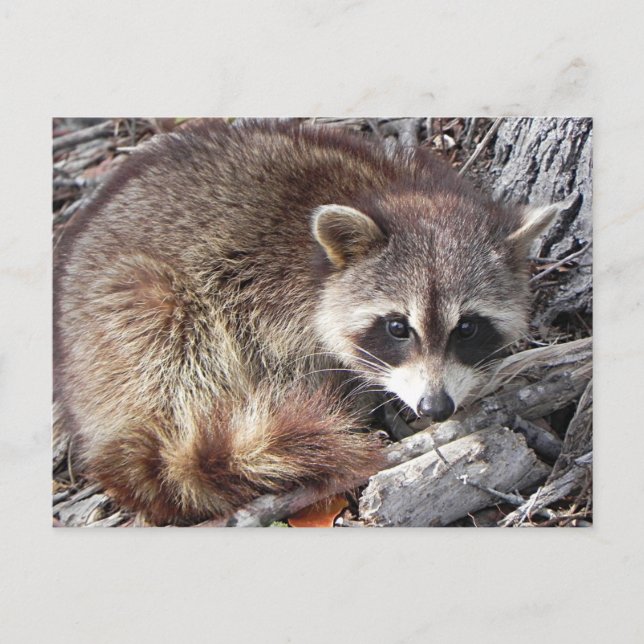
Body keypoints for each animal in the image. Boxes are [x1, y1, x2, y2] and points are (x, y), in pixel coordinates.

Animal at [54, 119, 559, 525]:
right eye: (398, 328)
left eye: (467, 328)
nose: (435, 407)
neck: (400, 191)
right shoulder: (264, 300)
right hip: (133, 317)